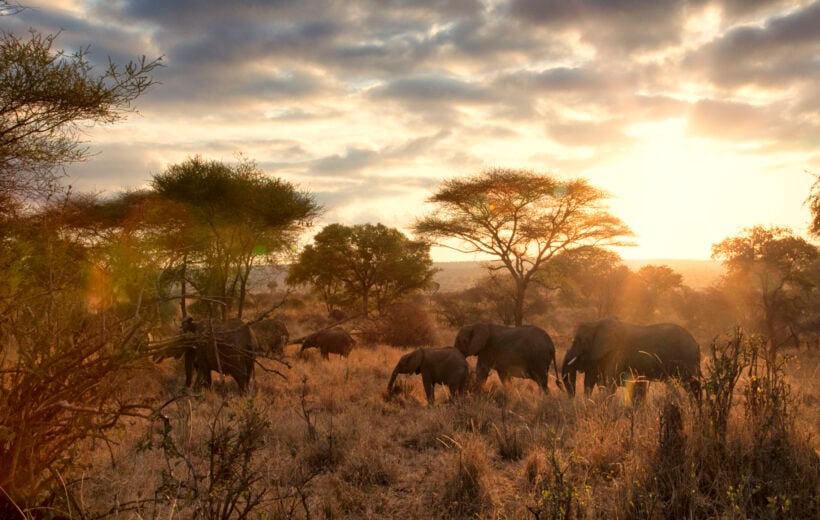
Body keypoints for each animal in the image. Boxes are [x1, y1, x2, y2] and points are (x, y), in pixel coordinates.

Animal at [560, 316, 700, 398]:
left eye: (579, 341)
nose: (571, 398)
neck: (596, 323)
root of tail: (696, 343)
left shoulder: (617, 352)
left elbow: (609, 381)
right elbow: (591, 380)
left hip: (687, 359)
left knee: (691, 385)